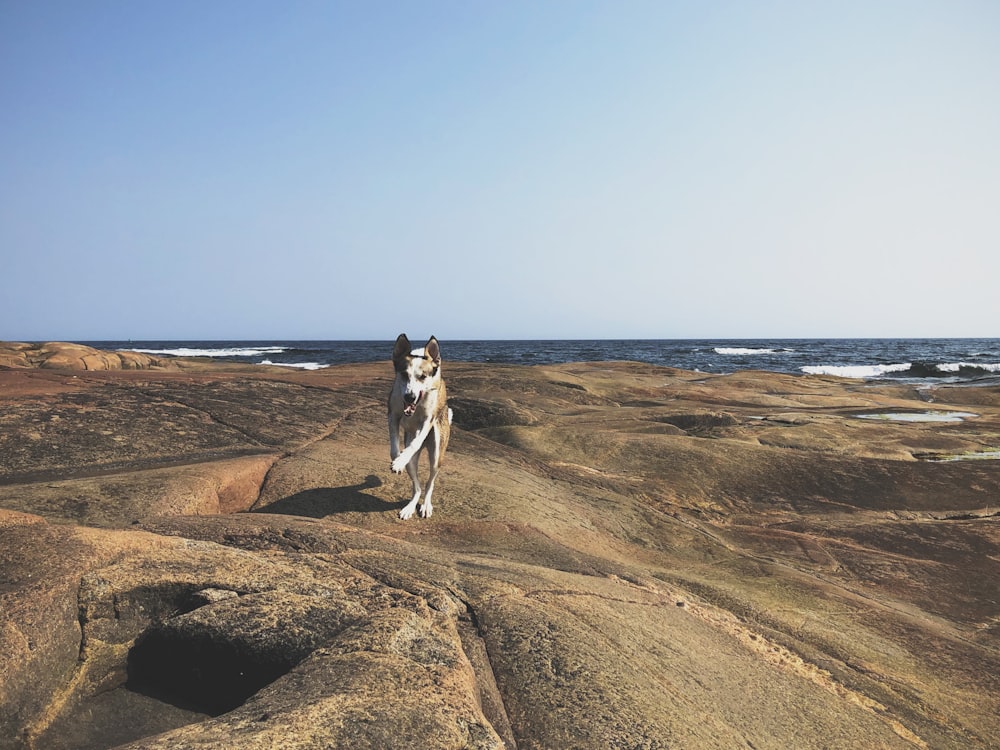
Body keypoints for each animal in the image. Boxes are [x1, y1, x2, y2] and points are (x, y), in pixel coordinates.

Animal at [386, 336, 454, 524]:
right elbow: (394, 448)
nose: (410, 397)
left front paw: (399, 461)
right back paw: (409, 508)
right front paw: (398, 460)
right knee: (416, 487)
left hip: (437, 453)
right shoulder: (393, 414)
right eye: (404, 374)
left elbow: (415, 443)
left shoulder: (427, 421)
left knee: (430, 483)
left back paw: (426, 505)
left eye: (422, 377)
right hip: (413, 462)